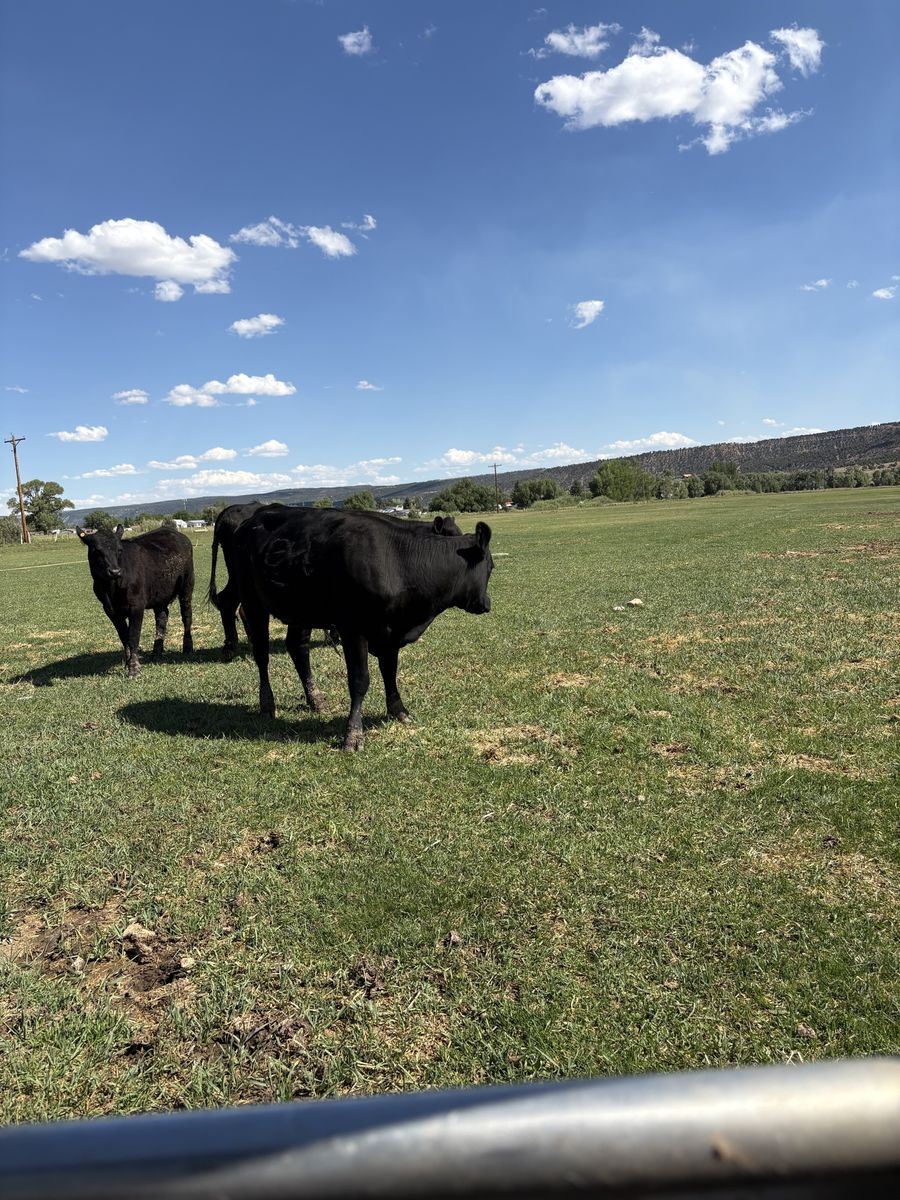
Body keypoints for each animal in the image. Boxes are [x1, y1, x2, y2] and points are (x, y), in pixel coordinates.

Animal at [76, 524, 194, 677]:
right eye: (97, 551)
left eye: (119, 550)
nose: (115, 571)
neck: (112, 588)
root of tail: (177, 534)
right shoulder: (110, 610)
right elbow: (124, 638)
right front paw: (128, 664)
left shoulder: (136, 606)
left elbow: (133, 637)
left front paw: (134, 668)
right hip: (160, 595)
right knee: (162, 618)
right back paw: (156, 653)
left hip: (187, 585)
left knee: (186, 615)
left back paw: (187, 647)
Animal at [231, 507, 492, 749]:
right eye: (490, 567)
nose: (486, 603)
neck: (400, 560)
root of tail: (254, 516)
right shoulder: (353, 630)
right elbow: (359, 680)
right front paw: (354, 734)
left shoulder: (390, 632)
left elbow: (390, 671)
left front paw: (399, 710)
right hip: (252, 600)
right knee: (261, 653)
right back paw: (267, 703)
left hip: (300, 610)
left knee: (298, 647)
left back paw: (315, 699)